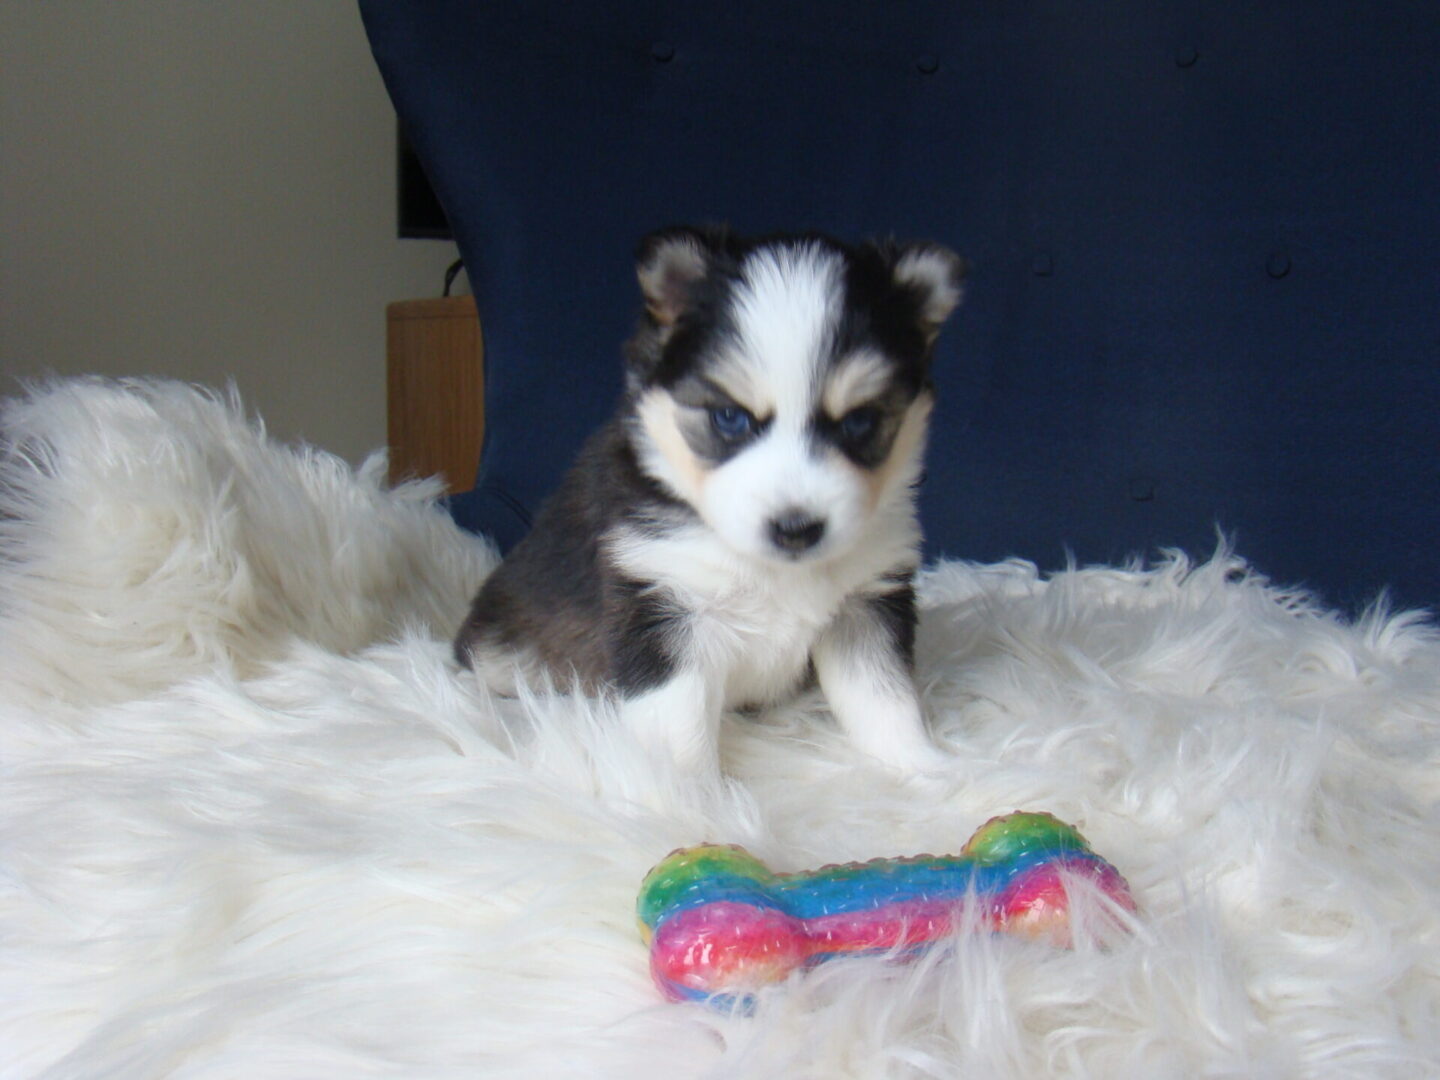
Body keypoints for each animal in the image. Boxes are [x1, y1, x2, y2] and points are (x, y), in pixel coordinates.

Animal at [455, 224, 961, 771]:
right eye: (730, 418)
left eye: (860, 421)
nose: (796, 529)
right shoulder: (664, 607)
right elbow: (677, 732)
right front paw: (681, 792)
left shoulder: (867, 604)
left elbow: (885, 701)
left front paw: (926, 769)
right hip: (507, 653)